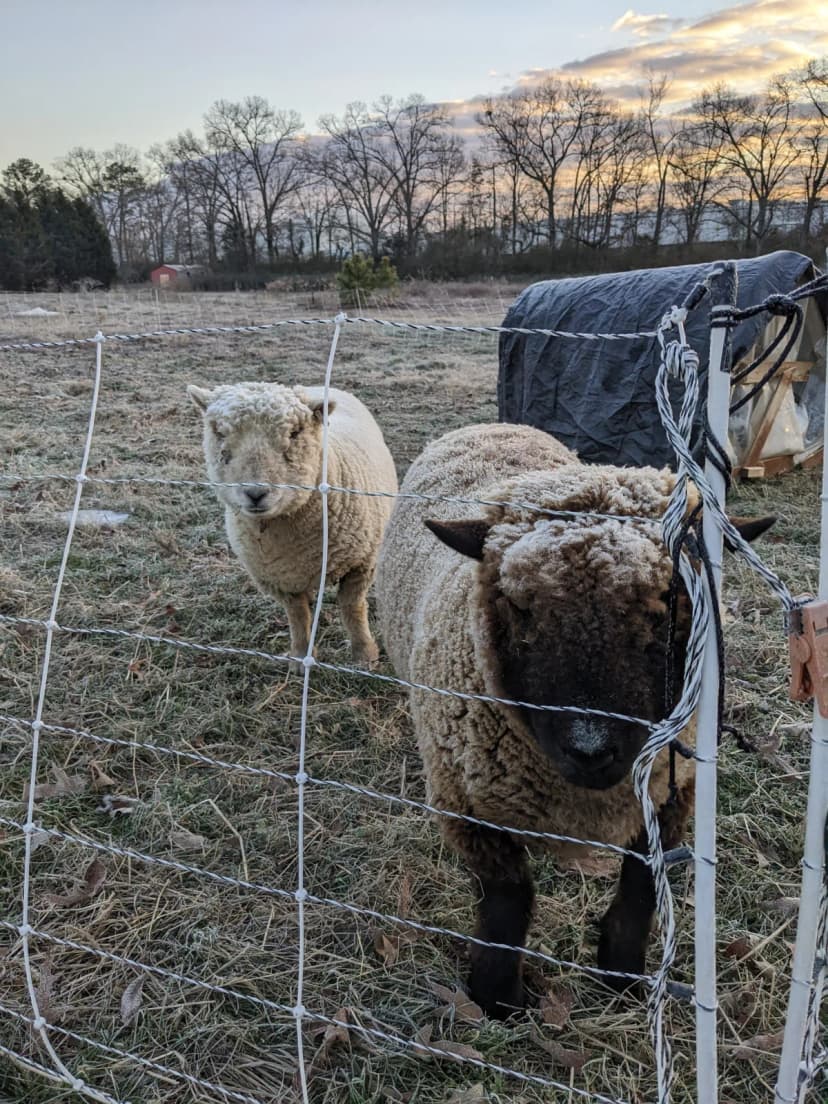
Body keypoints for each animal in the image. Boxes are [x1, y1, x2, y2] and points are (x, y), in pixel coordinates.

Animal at [188, 381, 398, 667]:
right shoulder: (279, 579)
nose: (255, 493)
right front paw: (300, 656)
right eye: (219, 432)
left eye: (295, 432)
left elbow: (352, 608)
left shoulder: (362, 564)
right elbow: (297, 615)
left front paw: (364, 655)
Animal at [375, 422, 773, 1018]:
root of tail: (493, 424)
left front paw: (622, 975)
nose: (590, 749)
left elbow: (641, 885)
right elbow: (508, 902)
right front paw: (497, 1000)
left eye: (667, 604)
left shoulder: (673, 792)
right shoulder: (468, 806)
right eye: (520, 607)